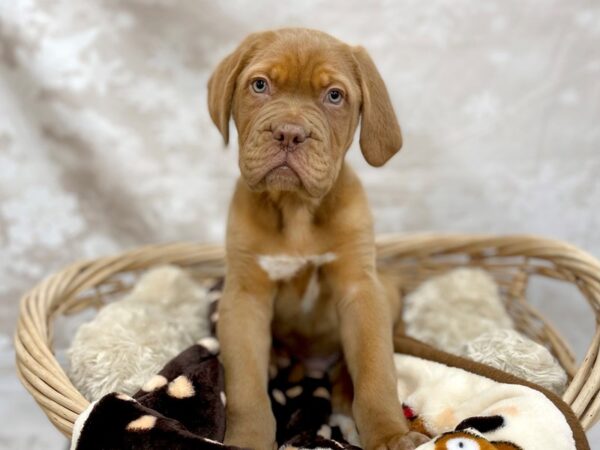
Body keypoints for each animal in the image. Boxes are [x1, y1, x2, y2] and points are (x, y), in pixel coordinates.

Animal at [209, 29, 424, 450]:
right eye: (260, 85)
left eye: (334, 95)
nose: (290, 133)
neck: (297, 211)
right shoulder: (244, 298)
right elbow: (246, 386)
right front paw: (248, 440)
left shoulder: (361, 289)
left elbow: (376, 372)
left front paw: (390, 434)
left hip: (386, 290)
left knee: (349, 365)